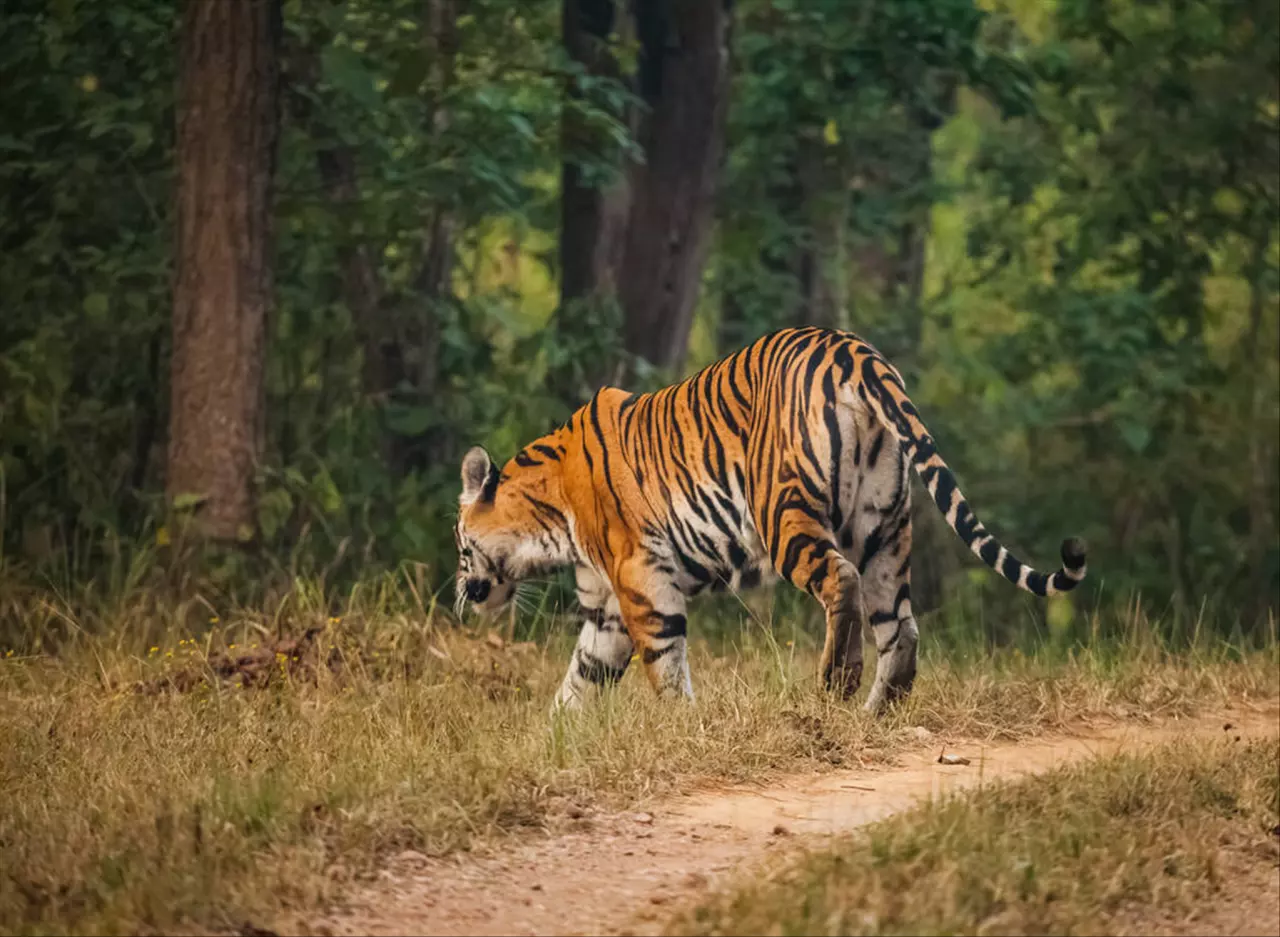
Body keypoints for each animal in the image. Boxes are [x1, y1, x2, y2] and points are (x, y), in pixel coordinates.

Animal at [455, 325, 1085, 711]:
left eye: (461, 546)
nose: (462, 591)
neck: (550, 520)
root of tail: (855, 350)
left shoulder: (639, 580)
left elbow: (663, 663)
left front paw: (683, 724)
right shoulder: (607, 607)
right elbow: (579, 680)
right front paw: (550, 741)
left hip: (782, 514)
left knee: (841, 582)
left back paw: (837, 683)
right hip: (884, 525)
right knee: (901, 626)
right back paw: (879, 713)